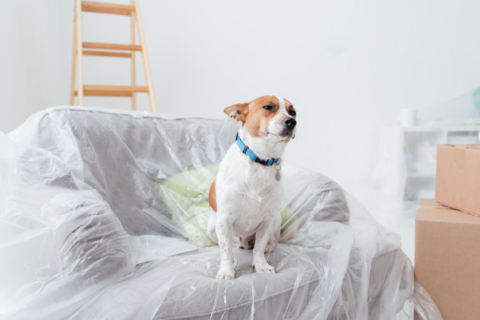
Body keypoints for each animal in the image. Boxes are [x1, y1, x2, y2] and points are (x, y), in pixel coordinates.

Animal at [207, 95, 296, 280]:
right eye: (268, 107)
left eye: (293, 112)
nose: (292, 121)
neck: (260, 161)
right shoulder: (223, 219)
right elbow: (225, 250)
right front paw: (226, 271)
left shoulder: (267, 220)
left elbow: (259, 247)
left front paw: (261, 265)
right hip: (212, 226)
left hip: (276, 219)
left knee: (271, 242)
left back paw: (268, 246)